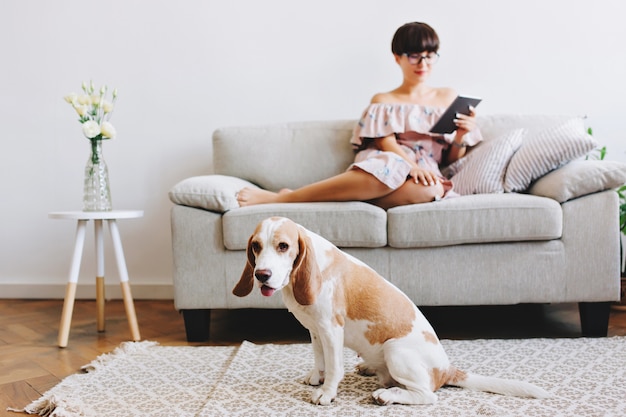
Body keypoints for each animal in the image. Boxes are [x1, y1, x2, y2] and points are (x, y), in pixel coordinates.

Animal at [230, 216, 544, 404]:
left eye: (283, 246)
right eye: (256, 246)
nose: (262, 275)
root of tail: (446, 369)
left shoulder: (331, 330)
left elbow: (334, 367)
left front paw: (327, 392)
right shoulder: (315, 330)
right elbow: (320, 360)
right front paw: (316, 377)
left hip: (395, 350)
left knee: (427, 396)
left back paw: (387, 394)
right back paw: (371, 369)